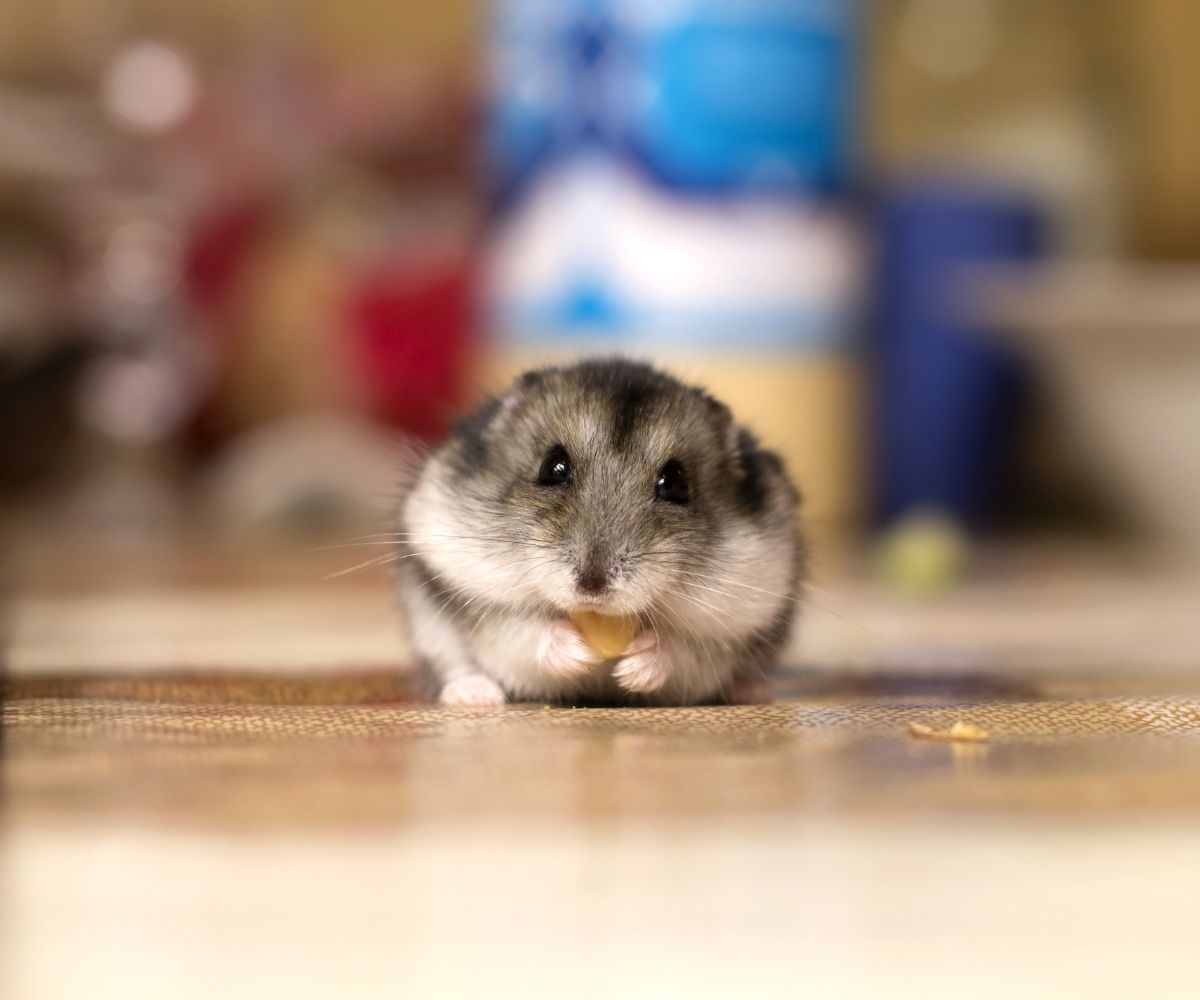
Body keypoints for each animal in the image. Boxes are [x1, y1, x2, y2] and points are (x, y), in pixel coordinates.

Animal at [396, 358, 804, 707]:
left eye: (675, 484)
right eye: (553, 467)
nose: (592, 588)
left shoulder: (727, 629)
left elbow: (681, 652)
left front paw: (633, 668)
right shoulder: (478, 599)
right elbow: (522, 631)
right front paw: (579, 654)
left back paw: (752, 691)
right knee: (455, 666)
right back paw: (475, 696)